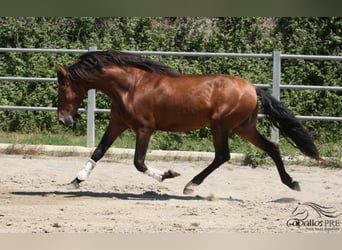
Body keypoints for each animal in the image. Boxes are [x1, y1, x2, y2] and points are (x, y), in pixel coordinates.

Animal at [56, 49, 320, 194]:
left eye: (63, 88)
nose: (63, 120)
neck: (130, 87)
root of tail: (253, 88)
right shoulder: (118, 123)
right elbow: (98, 151)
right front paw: (75, 181)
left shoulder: (144, 129)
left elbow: (138, 162)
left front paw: (168, 174)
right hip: (243, 128)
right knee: (271, 148)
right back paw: (292, 183)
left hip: (221, 126)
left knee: (223, 155)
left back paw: (191, 185)